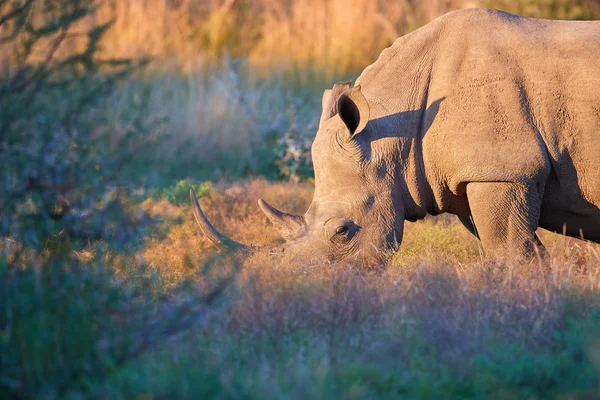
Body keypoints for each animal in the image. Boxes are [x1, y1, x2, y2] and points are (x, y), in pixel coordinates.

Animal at [193, 8, 600, 262]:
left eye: (343, 232)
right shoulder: (471, 175)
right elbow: (522, 253)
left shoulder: (502, 170)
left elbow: (512, 254)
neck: (392, 136)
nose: (307, 287)